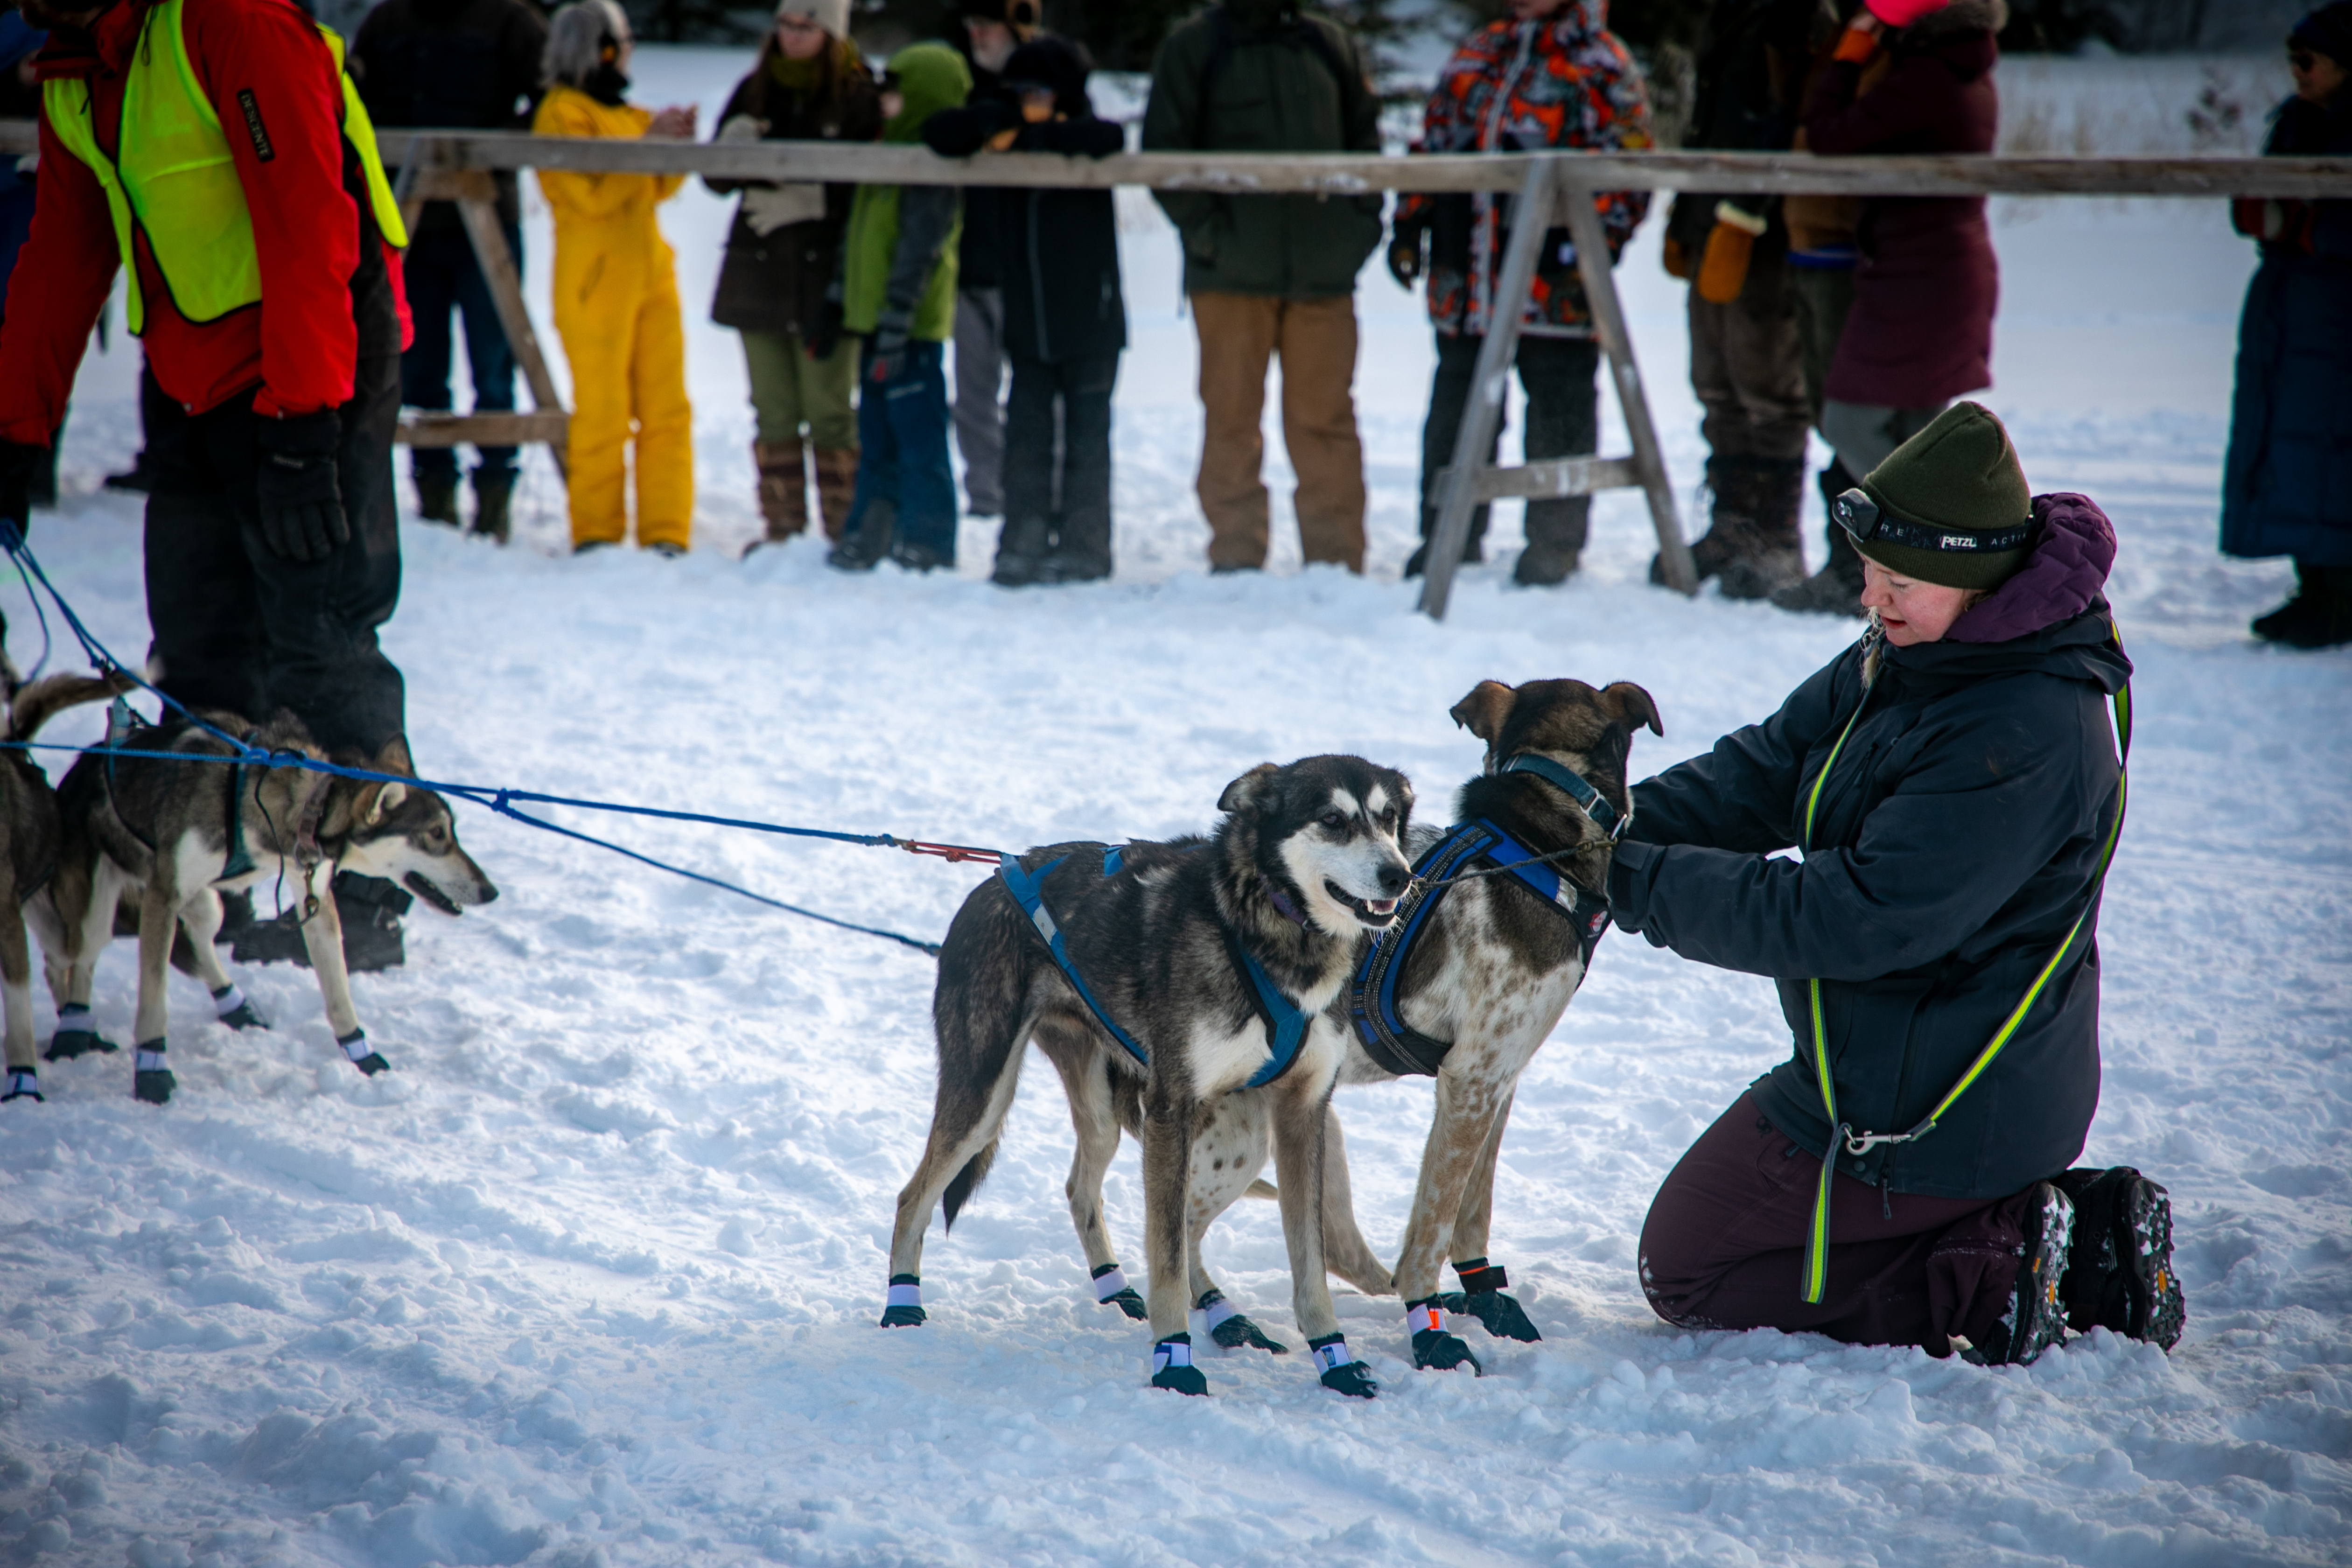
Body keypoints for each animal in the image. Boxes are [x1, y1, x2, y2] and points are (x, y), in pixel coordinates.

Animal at [33, 710, 496, 1105]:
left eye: (451, 831)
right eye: (436, 834)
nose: (491, 891)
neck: (306, 807)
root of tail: (72, 776)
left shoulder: (315, 897)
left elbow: (339, 993)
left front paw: (363, 1057)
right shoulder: (163, 895)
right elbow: (153, 995)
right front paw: (152, 1070)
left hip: (207, 904)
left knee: (199, 944)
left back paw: (235, 1006)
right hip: (100, 907)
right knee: (72, 964)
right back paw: (73, 1032)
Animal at [879, 757, 1401, 1401]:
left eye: (1390, 817)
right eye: (1332, 819)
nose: (1400, 875)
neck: (1269, 929)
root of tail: (993, 879)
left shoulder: (1302, 1113)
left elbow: (1308, 1261)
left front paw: (1335, 1359)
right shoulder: (1172, 1108)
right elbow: (1168, 1256)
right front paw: (1173, 1359)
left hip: (1176, 1122)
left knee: (1086, 1190)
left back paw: (1139, 1292)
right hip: (984, 1097)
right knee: (914, 1196)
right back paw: (902, 1304)